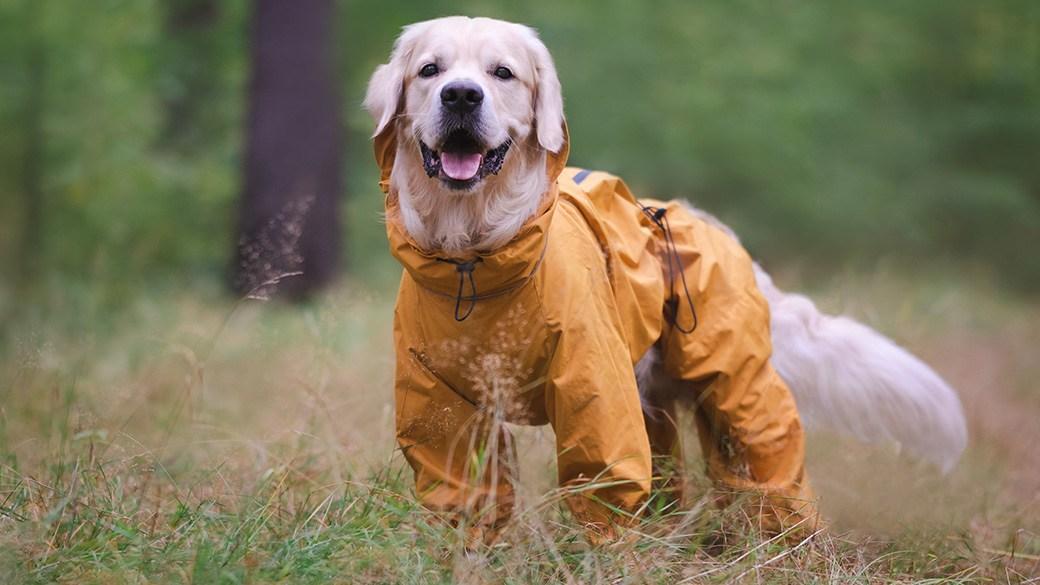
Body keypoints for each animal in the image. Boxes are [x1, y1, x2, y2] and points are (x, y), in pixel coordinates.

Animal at [364, 15, 965, 537]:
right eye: (430, 70)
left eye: (502, 73)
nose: (461, 96)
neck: (476, 258)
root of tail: (717, 230)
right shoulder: (443, 406)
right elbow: (468, 490)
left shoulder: (594, 388)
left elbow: (603, 479)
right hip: (654, 402)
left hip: (734, 390)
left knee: (768, 461)